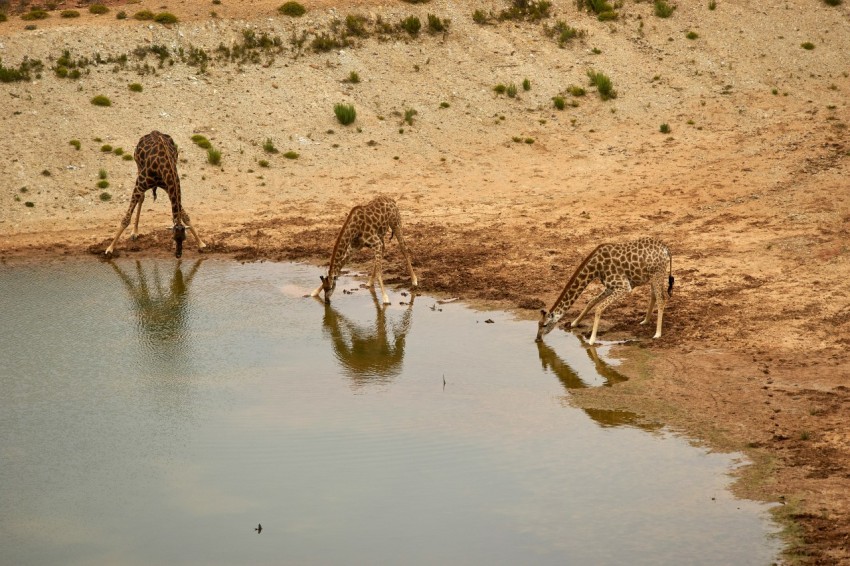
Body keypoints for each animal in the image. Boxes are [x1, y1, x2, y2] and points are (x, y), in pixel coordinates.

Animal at [532, 236, 672, 344]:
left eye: (544, 325)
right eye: (538, 324)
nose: (537, 339)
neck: (595, 267)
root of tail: (666, 249)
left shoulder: (624, 286)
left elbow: (599, 308)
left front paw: (591, 340)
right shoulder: (610, 287)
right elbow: (591, 302)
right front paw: (574, 323)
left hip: (658, 274)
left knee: (661, 299)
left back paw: (657, 333)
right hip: (652, 276)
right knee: (654, 296)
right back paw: (645, 321)